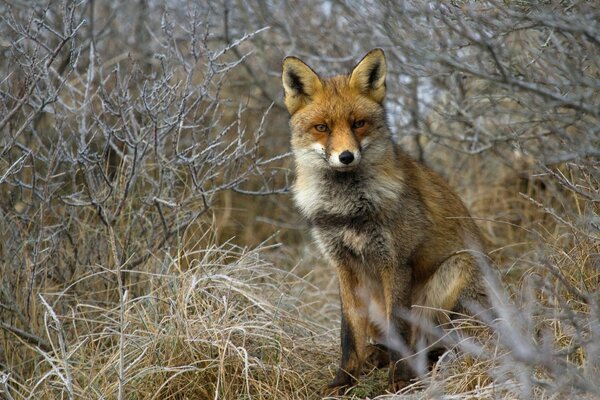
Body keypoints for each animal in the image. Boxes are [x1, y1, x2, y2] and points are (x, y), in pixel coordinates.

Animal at [284, 48, 490, 392]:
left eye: (359, 123)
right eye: (322, 127)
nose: (346, 157)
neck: (348, 212)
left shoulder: (395, 262)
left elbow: (399, 327)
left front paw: (400, 380)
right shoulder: (343, 266)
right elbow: (348, 333)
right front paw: (343, 380)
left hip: (455, 272)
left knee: (438, 340)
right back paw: (376, 357)